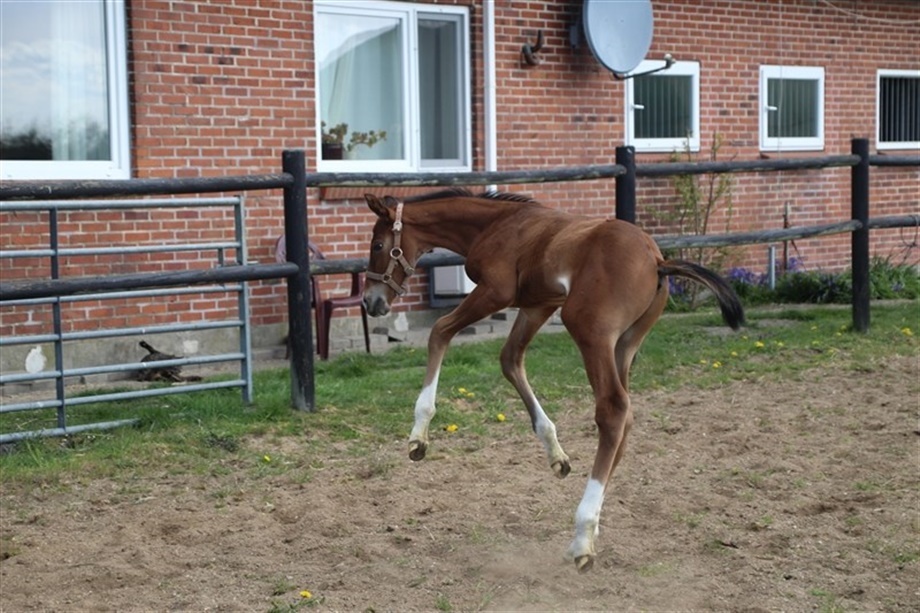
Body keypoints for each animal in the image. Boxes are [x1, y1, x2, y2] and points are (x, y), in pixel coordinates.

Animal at [362, 188, 744, 572]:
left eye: (378, 245)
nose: (371, 301)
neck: (497, 223)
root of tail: (657, 260)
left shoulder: (497, 291)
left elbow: (440, 331)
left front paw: (418, 437)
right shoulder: (537, 304)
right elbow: (510, 359)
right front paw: (556, 455)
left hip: (588, 328)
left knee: (613, 410)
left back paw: (583, 536)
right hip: (626, 341)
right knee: (626, 415)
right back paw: (590, 529)